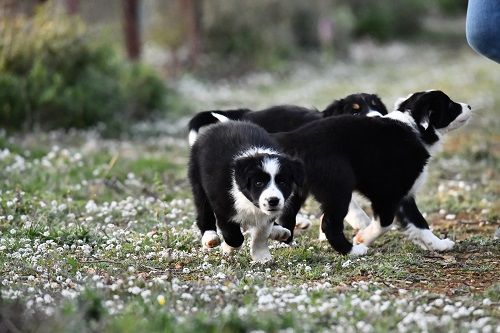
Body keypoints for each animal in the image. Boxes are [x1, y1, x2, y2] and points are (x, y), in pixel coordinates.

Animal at [188, 120, 302, 262]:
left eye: (282, 182)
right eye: (258, 183)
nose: (273, 201)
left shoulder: (265, 216)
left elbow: (261, 234)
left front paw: (261, 257)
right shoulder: (223, 205)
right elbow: (234, 236)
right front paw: (228, 248)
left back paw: (279, 231)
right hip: (198, 182)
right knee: (203, 211)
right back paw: (210, 237)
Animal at [274, 90, 472, 254]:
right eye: (449, 105)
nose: (469, 106)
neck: (413, 127)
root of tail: (296, 139)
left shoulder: (404, 195)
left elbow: (419, 222)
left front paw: (438, 244)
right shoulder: (387, 193)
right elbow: (385, 223)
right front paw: (362, 238)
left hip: (297, 190)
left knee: (288, 216)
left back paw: (284, 241)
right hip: (338, 187)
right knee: (330, 224)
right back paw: (353, 251)